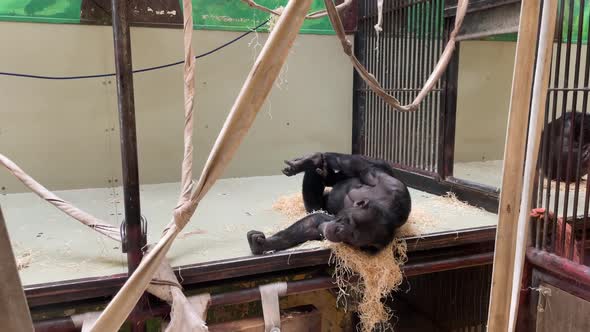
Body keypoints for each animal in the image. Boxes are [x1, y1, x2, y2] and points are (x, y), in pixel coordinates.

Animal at [247, 152, 414, 254]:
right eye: (350, 221)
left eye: (352, 236)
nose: (339, 230)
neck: (385, 207)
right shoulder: (388, 183)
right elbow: (362, 168)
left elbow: (317, 224)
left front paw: (262, 245)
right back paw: (313, 161)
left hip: (313, 205)